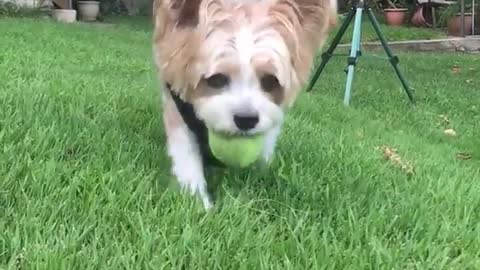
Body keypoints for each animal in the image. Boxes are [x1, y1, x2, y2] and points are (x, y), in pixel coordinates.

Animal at [154, 0, 338, 209]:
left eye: (270, 81)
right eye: (216, 79)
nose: (246, 119)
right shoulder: (176, 105)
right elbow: (186, 155)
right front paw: (200, 202)